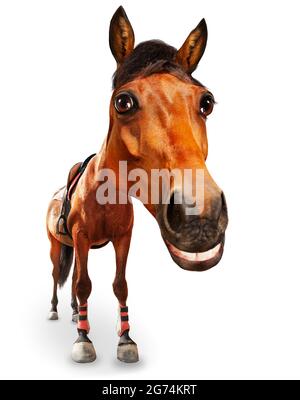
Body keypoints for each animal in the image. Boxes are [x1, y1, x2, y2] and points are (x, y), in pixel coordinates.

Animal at [45, 6, 227, 364]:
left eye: (207, 102)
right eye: (123, 102)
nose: (199, 217)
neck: (105, 194)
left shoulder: (122, 239)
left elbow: (119, 285)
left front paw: (125, 340)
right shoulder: (81, 238)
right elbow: (85, 284)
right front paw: (84, 341)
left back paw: (73, 313)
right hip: (58, 245)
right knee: (59, 277)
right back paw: (58, 312)